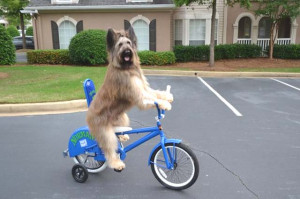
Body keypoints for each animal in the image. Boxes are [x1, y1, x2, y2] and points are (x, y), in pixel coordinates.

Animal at [85, 27, 173, 171]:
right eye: (120, 45)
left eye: (129, 43)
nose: (127, 52)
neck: (126, 68)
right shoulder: (138, 94)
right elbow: (150, 99)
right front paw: (164, 104)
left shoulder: (144, 87)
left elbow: (155, 93)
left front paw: (167, 97)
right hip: (105, 132)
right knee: (108, 149)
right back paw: (116, 163)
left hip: (123, 118)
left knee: (118, 134)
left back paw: (123, 136)